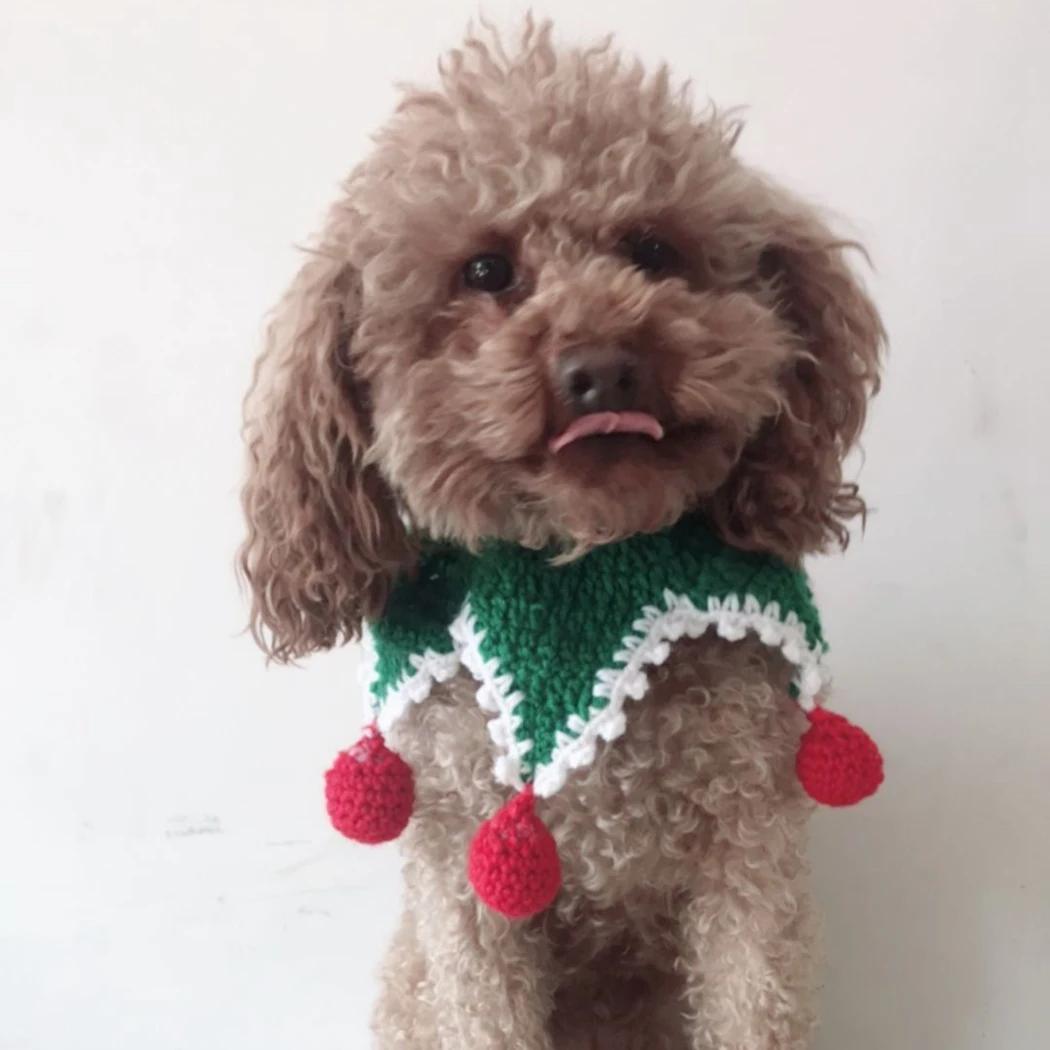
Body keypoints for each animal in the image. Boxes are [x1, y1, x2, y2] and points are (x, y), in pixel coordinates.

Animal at [239, 20, 884, 1050]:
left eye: (652, 248)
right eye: (485, 271)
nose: (604, 367)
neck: (585, 572)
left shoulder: (750, 847)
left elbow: (756, 1001)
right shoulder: (465, 882)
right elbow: (488, 1008)